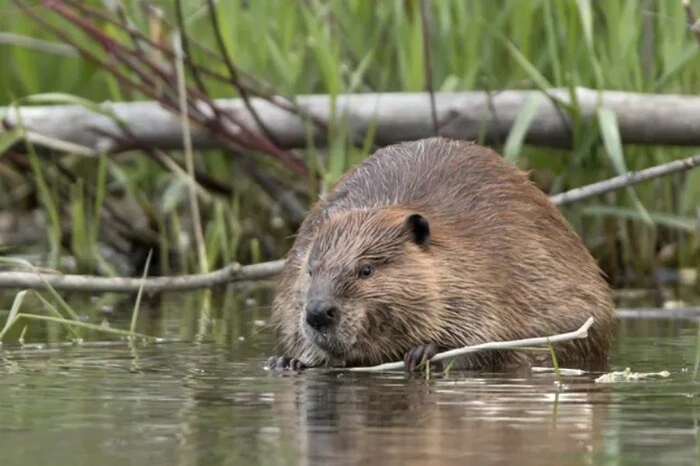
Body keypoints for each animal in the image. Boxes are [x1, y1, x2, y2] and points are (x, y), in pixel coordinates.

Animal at [266, 137, 616, 374]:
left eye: (366, 270)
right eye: (311, 270)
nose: (317, 313)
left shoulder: (490, 276)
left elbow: (488, 344)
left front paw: (422, 352)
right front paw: (287, 360)